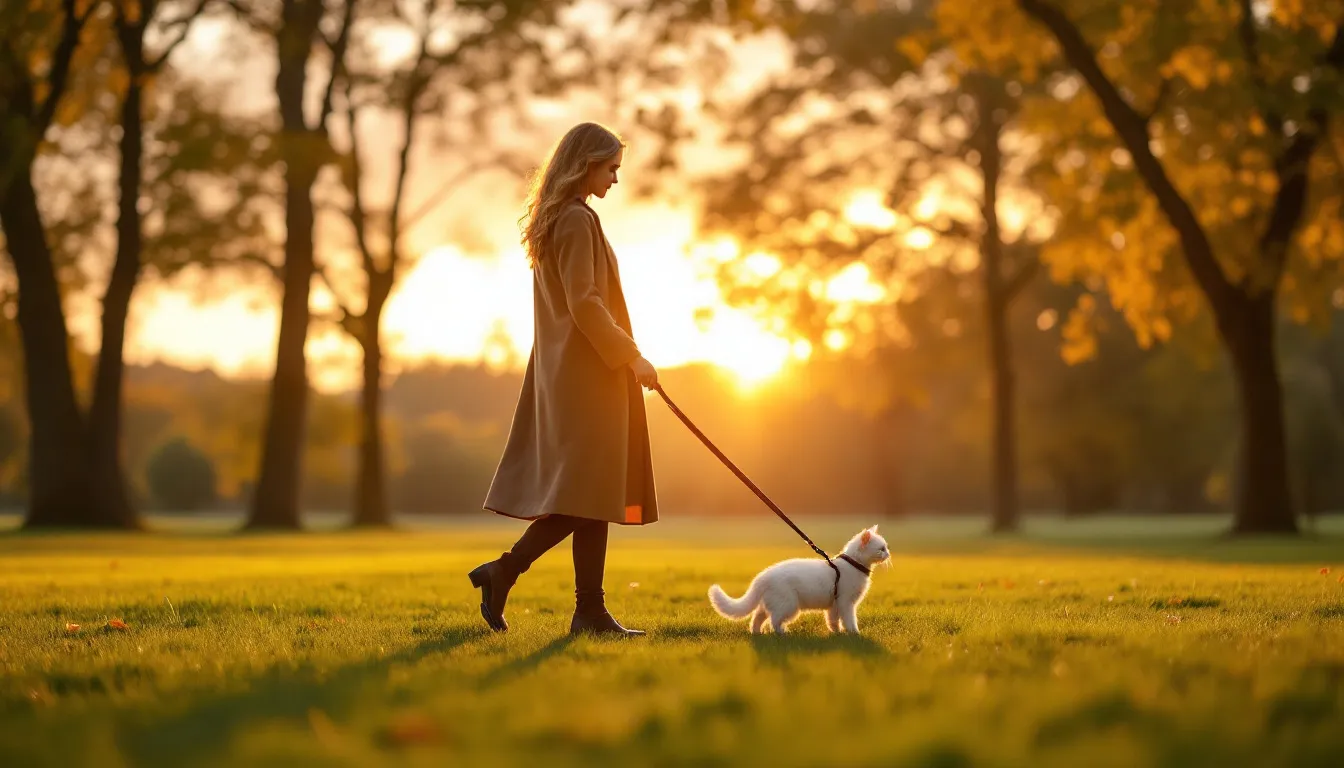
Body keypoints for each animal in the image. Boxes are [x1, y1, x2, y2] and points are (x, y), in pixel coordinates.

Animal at [709, 529, 887, 637]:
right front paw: (854, 633)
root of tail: (762, 576)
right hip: (788, 605)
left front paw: (837, 633)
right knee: (774, 620)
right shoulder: (846, 602)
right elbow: (850, 620)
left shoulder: (834, 604)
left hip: (771, 603)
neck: (853, 565)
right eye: (881, 549)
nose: (888, 553)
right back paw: (782, 633)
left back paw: (757, 633)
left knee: (757, 617)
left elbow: (833, 621)